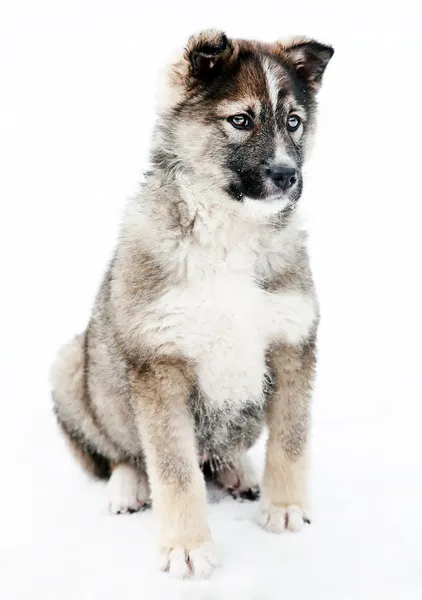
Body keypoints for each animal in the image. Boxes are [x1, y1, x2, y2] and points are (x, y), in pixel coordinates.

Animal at [50, 30, 332, 580]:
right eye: (240, 120)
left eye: (293, 122)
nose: (287, 175)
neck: (229, 235)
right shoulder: (161, 364)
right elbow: (175, 471)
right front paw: (186, 547)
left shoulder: (292, 344)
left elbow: (290, 440)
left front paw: (285, 508)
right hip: (74, 364)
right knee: (122, 453)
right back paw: (127, 486)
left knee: (221, 450)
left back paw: (237, 471)